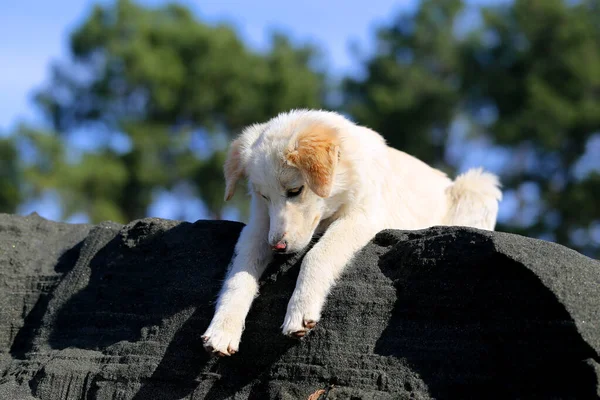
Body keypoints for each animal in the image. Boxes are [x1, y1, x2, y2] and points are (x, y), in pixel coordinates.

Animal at [202, 108, 502, 354]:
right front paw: (222, 329)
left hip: (478, 185)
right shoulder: (259, 227)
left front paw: (300, 310)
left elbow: (317, 255)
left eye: (295, 191)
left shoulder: (362, 216)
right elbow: (238, 276)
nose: (278, 247)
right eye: (264, 196)